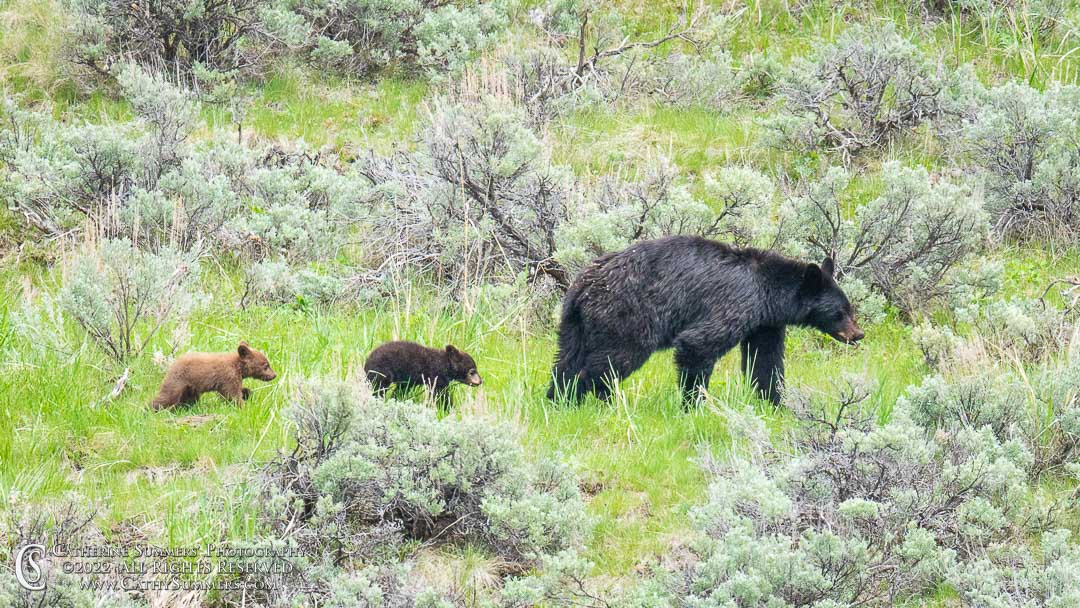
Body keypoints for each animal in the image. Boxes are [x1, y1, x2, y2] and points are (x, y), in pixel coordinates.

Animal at [546, 235, 864, 406]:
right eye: (841, 311)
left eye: (850, 308)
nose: (858, 334)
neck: (767, 292)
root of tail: (583, 286)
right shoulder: (734, 304)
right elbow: (698, 344)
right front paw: (693, 404)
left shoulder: (764, 324)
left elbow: (765, 361)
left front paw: (774, 402)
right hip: (627, 317)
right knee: (610, 362)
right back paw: (590, 398)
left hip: (575, 323)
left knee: (566, 359)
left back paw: (557, 399)